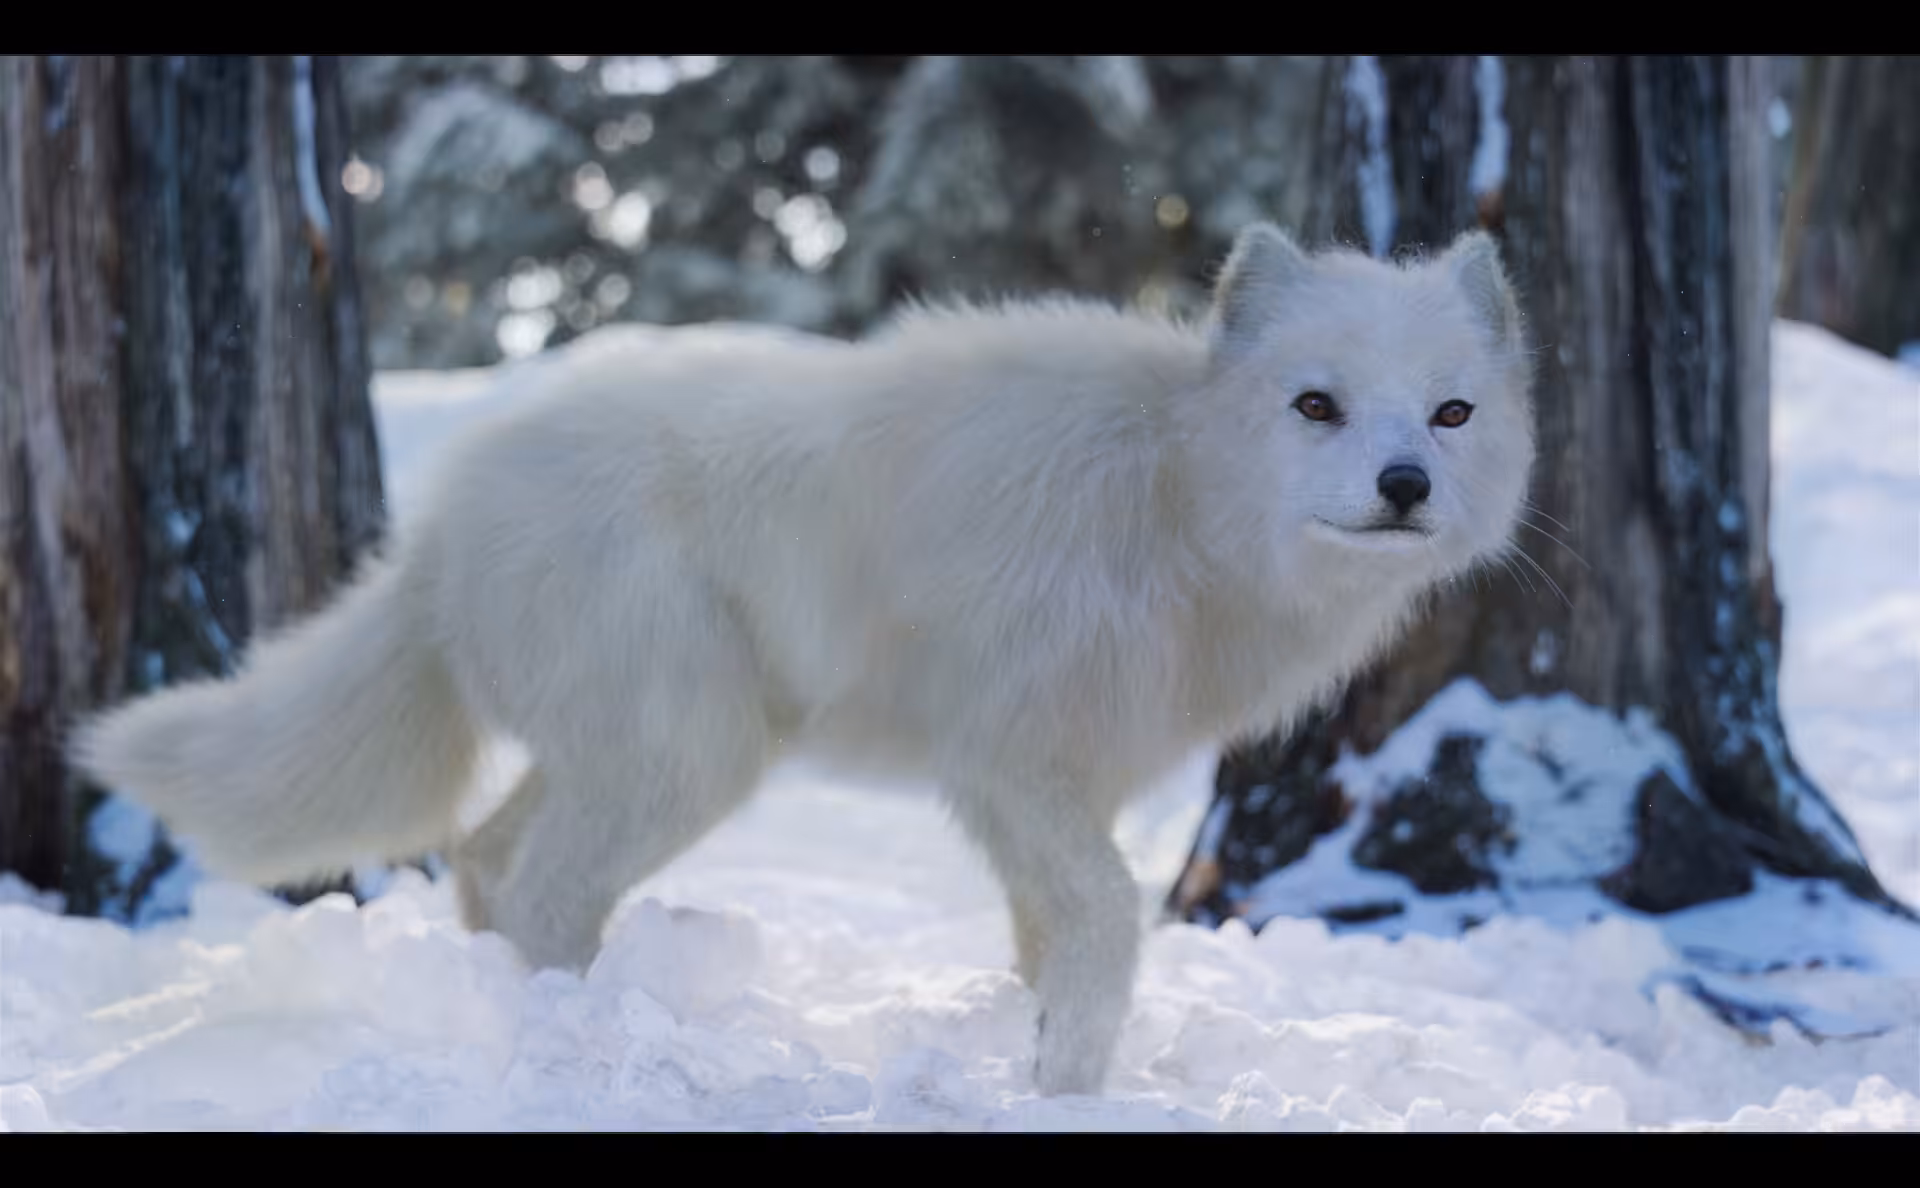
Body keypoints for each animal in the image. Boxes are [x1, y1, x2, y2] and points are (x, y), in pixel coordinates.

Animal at [71, 223, 1535, 1097]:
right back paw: (564, 1050)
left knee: (484, 858)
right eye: (1316, 405)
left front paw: (1036, 1060)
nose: (1406, 486)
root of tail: (438, 524)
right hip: (695, 759)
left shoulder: (1063, 784)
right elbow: (1111, 924)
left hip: (635, 753)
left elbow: (1045, 938)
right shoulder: (1009, 765)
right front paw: (1067, 1081)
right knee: (540, 890)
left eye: (1451, 415)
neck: (1169, 493)